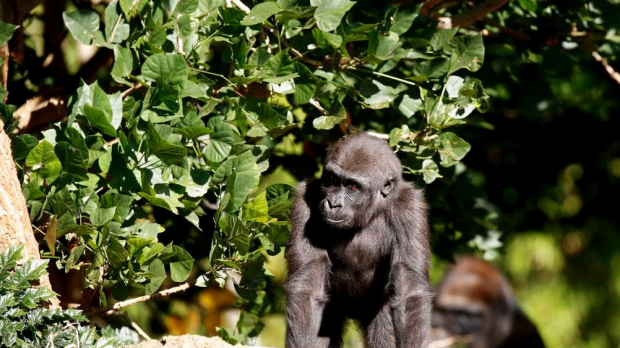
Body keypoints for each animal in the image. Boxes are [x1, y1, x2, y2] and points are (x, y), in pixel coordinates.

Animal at [284, 133, 434, 348]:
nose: (333, 203)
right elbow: (308, 289)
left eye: (353, 187)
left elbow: (409, 292)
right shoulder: (306, 198)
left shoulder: (410, 206)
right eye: (333, 180)